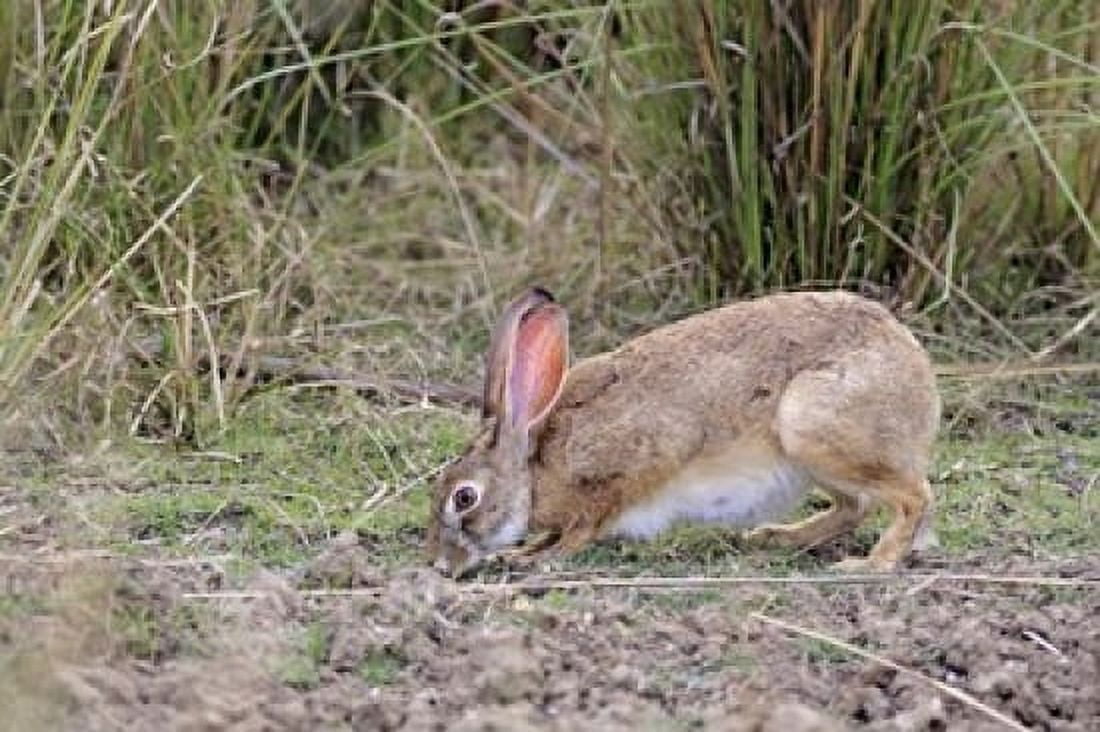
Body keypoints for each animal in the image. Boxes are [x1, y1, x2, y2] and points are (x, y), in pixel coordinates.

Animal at [427, 287, 940, 578]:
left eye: (464, 498)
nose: (440, 564)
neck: (534, 467)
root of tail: (914, 362)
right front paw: (523, 552)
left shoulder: (621, 477)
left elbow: (581, 530)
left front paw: (530, 559)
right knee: (855, 506)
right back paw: (775, 538)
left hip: (812, 428)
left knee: (913, 498)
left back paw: (871, 564)